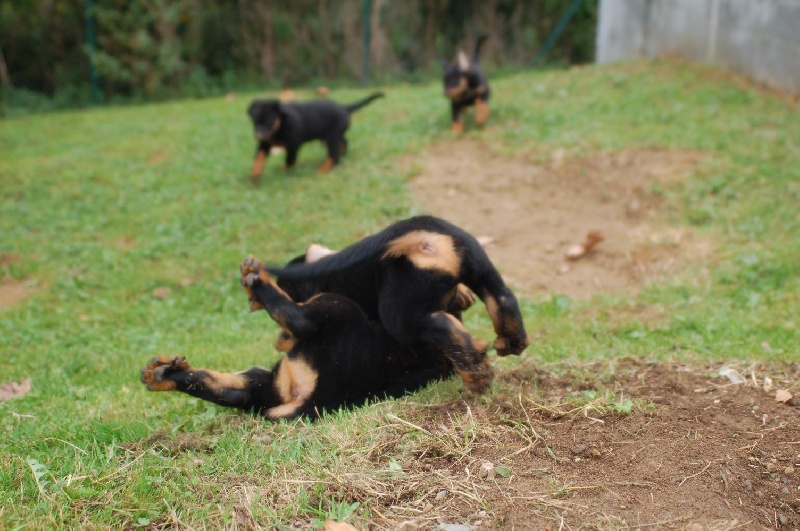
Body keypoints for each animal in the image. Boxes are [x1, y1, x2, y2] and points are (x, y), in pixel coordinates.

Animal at [141, 256, 460, 422]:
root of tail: (314, 398)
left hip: (335, 309)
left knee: (298, 320)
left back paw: (259, 281)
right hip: (271, 382)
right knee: (232, 390)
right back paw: (165, 375)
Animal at [247, 91, 384, 181]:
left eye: (269, 121)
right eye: (255, 121)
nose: (258, 135)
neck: (279, 125)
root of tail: (344, 108)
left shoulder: (293, 145)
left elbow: (289, 161)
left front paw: (284, 173)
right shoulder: (264, 144)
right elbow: (258, 157)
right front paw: (255, 173)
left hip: (331, 137)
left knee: (334, 157)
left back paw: (323, 170)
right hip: (329, 136)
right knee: (343, 143)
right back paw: (342, 154)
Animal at [268, 215, 532, 394]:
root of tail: (410, 232)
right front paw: (463, 296)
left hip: (399, 317)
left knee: (442, 326)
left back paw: (477, 375)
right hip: (476, 261)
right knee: (502, 297)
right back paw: (511, 340)